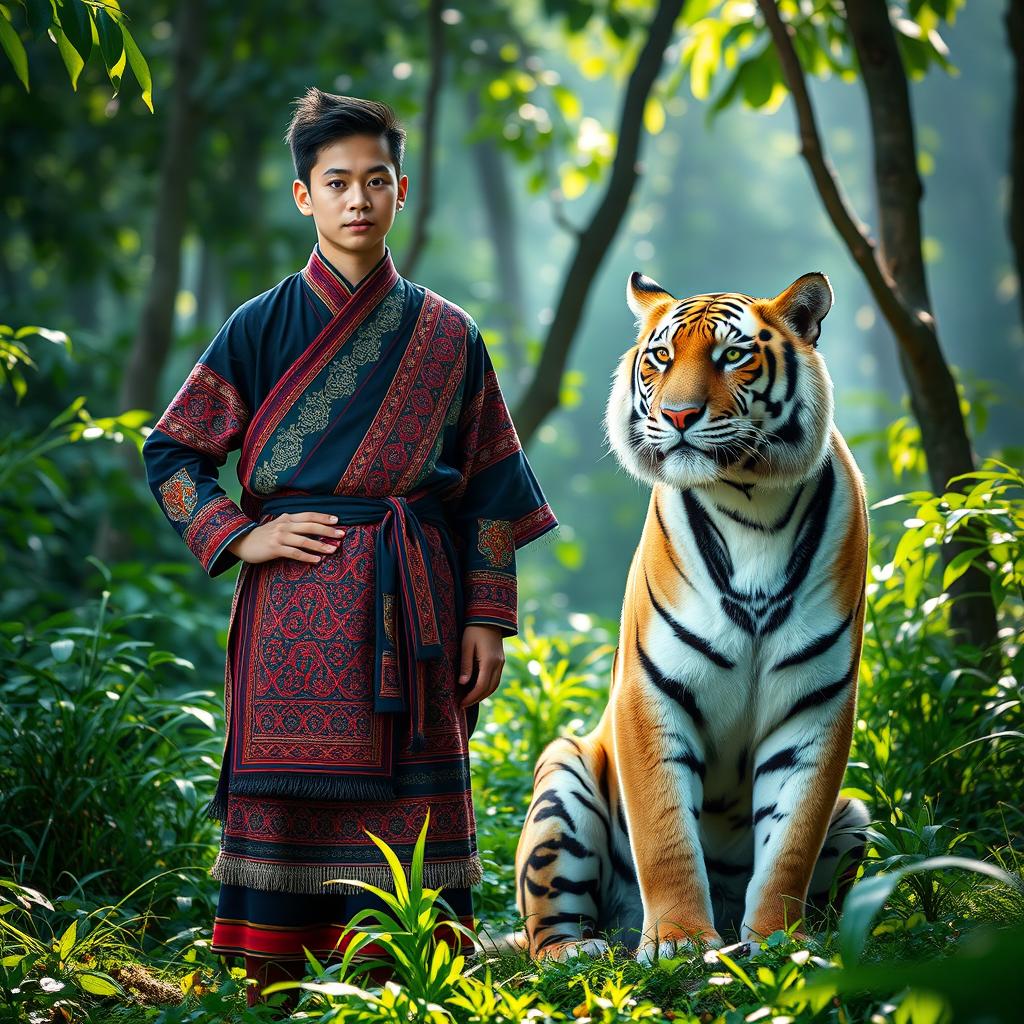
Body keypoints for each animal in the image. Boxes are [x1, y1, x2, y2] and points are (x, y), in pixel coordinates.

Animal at [513, 271, 869, 963]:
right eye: (660, 358)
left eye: (732, 356)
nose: (678, 416)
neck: (751, 503)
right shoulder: (651, 690)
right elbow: (664, 834)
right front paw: (678, 942)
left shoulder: (816, 704)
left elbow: (791, 841)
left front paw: (780, 942)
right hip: (563, 776)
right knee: (545, 932)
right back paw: (582, 950)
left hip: (856, 815)